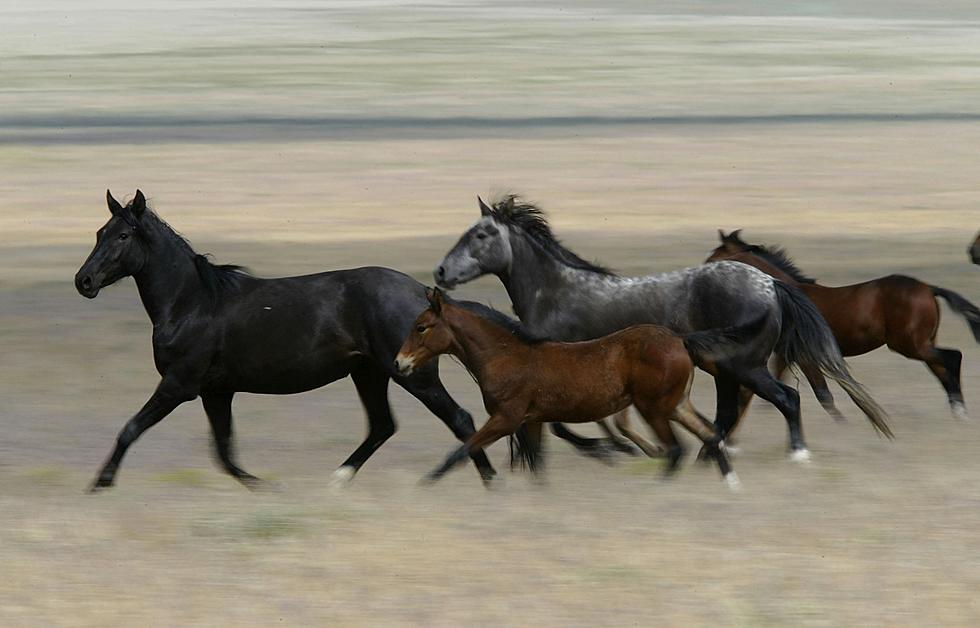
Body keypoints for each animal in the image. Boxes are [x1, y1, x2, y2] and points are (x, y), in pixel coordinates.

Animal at [74, 189, 498, 494]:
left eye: (123, 235)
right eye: (98, 233)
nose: (84, 281)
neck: (191, 302)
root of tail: (424, 294)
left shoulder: (179, 385)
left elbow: (131, 428)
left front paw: (100, 484)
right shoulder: (216, 391)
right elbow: (223, 451)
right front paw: (266, 487)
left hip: (413, 375)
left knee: (459, 418)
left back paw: (488, 482)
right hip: (370, 373)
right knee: (382, 426)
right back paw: (338, 479)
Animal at [394, 288, 740, 488]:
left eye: (421, 327)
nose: (399, 364)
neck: (505, 356)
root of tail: (680, 339)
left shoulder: (506, 419)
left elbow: (462, 450)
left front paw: (426, 484)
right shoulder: (531, 421)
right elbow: (536, 464)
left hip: (653, 408)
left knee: (676, 450)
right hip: (677, 404)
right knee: (710, 435)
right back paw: (732, 484)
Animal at [432, 196, 892, 462]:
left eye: (482, 234)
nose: (440, 272)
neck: (558, 293)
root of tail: (770, 284)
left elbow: (583, 423)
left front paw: (618, 449)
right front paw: (632, 447)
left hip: (744, 366)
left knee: (786, 398)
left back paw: (795, 452)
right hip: (727, 369)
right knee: (732, 410)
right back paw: (709, 451)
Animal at [708, 231, 976, 422]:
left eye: (714, 258)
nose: (703, 273)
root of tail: (929, 288)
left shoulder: (806, 356)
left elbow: (823, 394)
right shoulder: (788, 355)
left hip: (909, 344)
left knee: (952, 358)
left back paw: (961, 412)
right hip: (921, 342)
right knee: (941, 368)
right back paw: (957, 412)